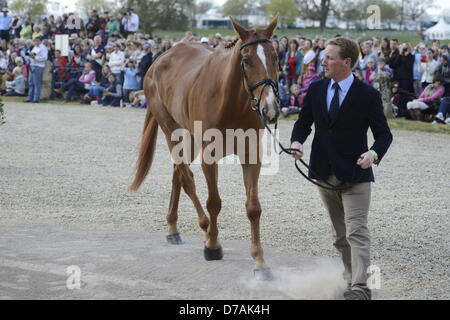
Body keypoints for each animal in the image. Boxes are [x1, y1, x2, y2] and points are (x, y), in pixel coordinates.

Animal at [128, 16, 280, 278]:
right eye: (246, 60)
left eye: (275, 56)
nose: (270, 110)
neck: (231, 101)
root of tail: (161, 58)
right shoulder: (209, 155)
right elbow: (214, 202)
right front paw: (212, 245)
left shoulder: (251, 155)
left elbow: (253, 208)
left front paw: (260, 262)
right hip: (170, 128)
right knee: (185, 177)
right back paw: (203, 226)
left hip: (188, 136)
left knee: (177, 174)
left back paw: (173, 228)